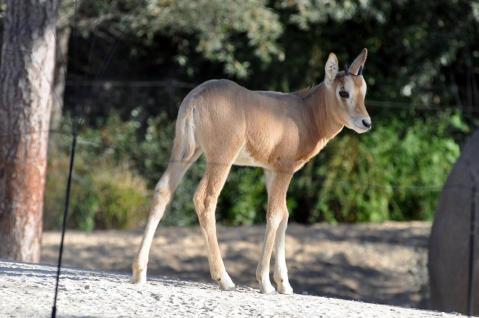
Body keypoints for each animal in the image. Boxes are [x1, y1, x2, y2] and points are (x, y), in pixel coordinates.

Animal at [133, 48, 374, 294]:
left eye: (362, 90)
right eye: (343, 92)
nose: (366, 122)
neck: (305, 111)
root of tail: (196, 98)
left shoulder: (271, 171)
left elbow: (285, 215)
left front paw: (284, 284)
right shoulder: (285, 170)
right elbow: (275, 215)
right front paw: (266, 283)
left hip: (185, 152)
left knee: (162, 191)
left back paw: (139, 272)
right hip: (221, 159)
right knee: (205, 199)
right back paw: (224, 278)